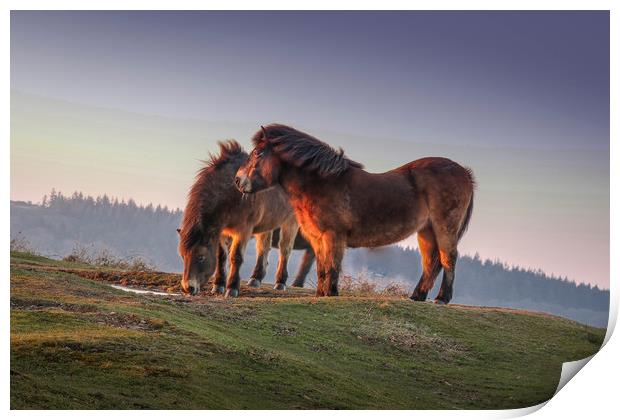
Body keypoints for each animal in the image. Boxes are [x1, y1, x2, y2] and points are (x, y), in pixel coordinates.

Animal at [178, 140, 314, 296]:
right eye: (183, 256)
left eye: (200, 257)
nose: (188, 288)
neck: (232, 192)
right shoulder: (222, 231)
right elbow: (221, 256)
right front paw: (218, 285)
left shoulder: (243, 230)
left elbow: (236, 256)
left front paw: (232, 288)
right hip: (267, 223)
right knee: (263, 247)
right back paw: (255, 278)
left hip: (290, 222)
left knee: (285, 249)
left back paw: (280, 282)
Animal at [234, 124, 474, 302]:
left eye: (257, 153)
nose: (237, 180)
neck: (322, 183)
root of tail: (464, 172)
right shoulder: (317, 239)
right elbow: (322, 267)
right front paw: (321, 294)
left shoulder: (334, 236)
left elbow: (332, 266)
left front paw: (331, 293)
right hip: (426, 231)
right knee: (431, 261)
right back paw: (417, 296)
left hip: (444, 227)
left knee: (449, 258)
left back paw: (442, 298)